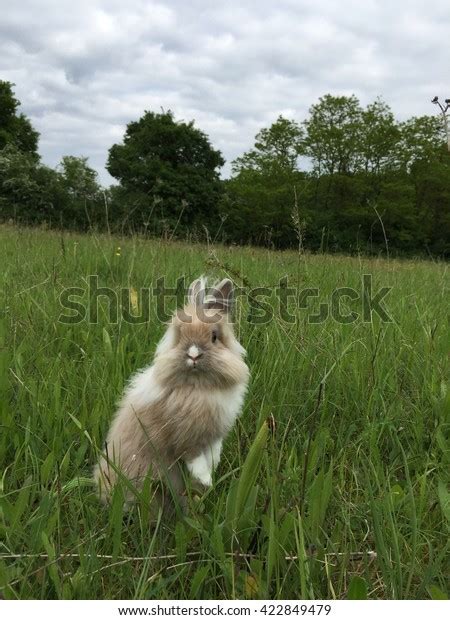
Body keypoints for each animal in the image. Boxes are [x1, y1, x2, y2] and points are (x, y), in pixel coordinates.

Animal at [94, 278, 250, 508]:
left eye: (214, 336)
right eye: (180, 335)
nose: (193, 355)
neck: (199, 387)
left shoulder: (214, 436)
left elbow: (213, 453)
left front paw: (212, 470)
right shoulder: (183, 434)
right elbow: (193, 457)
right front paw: (207, 478)